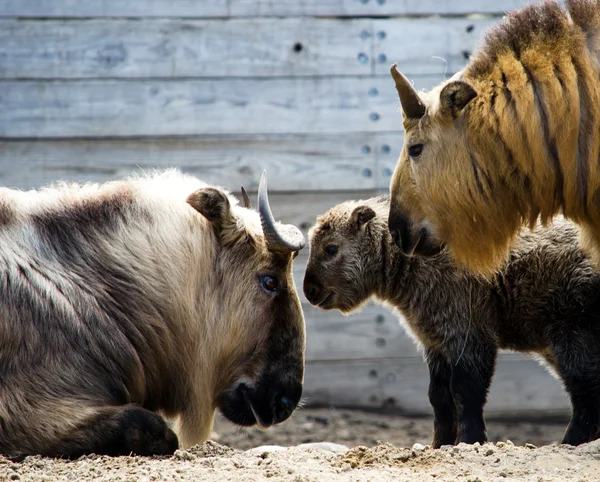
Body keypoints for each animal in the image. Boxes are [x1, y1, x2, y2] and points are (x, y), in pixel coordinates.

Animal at [308, 196, 600, 448]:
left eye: (331, 248)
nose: (309, 291)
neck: (413, 260)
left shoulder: (467, 334)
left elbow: (465, 392)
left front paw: (470, 440)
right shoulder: (435, 342)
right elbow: (439, 396)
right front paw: (440, 443)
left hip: (572, 335)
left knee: (586, 395)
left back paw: (570, 443)